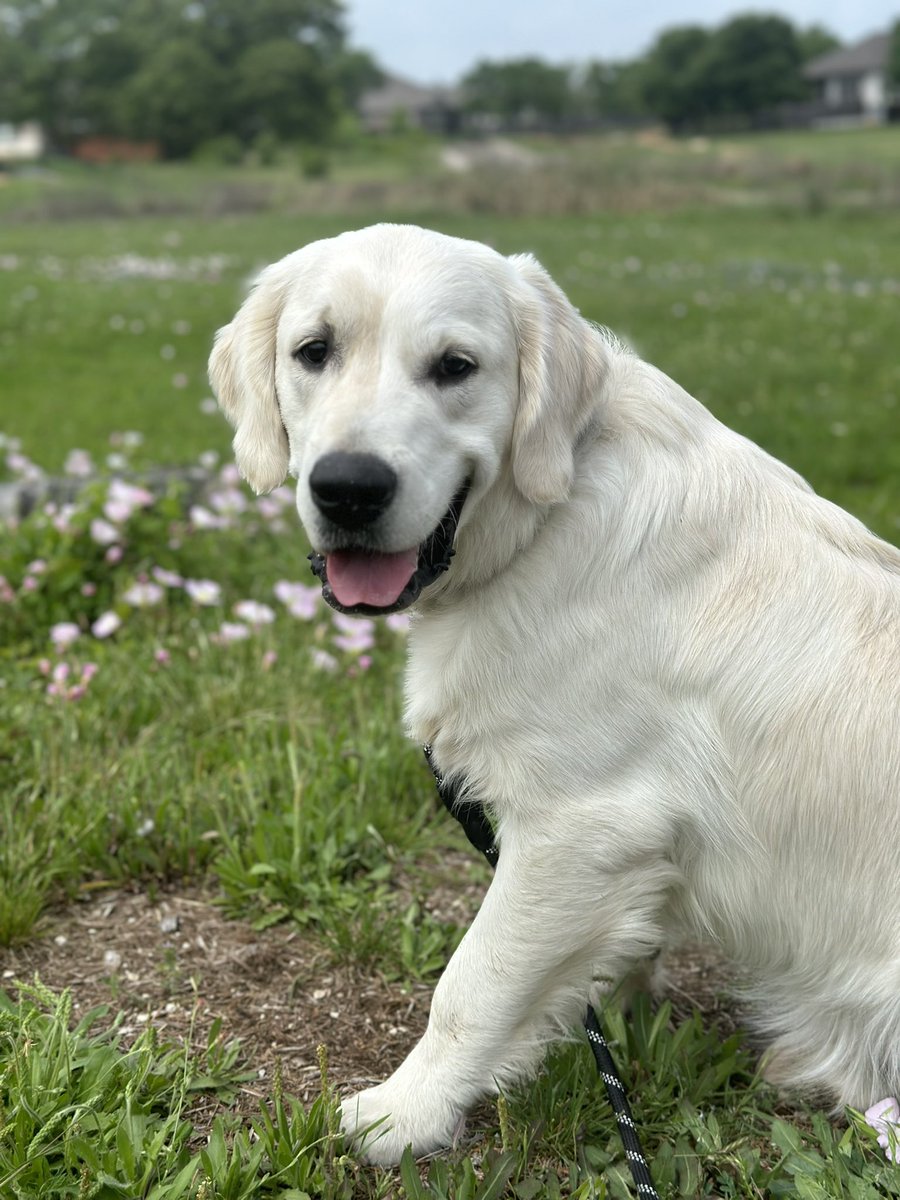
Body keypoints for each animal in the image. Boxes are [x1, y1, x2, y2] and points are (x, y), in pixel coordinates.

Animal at [211, 223, 900, 1161]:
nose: (349, 487)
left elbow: (473, 983)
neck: (542, 520)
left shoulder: (583, 827)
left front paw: (405, 1112)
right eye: (314, 351)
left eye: (456, 366)